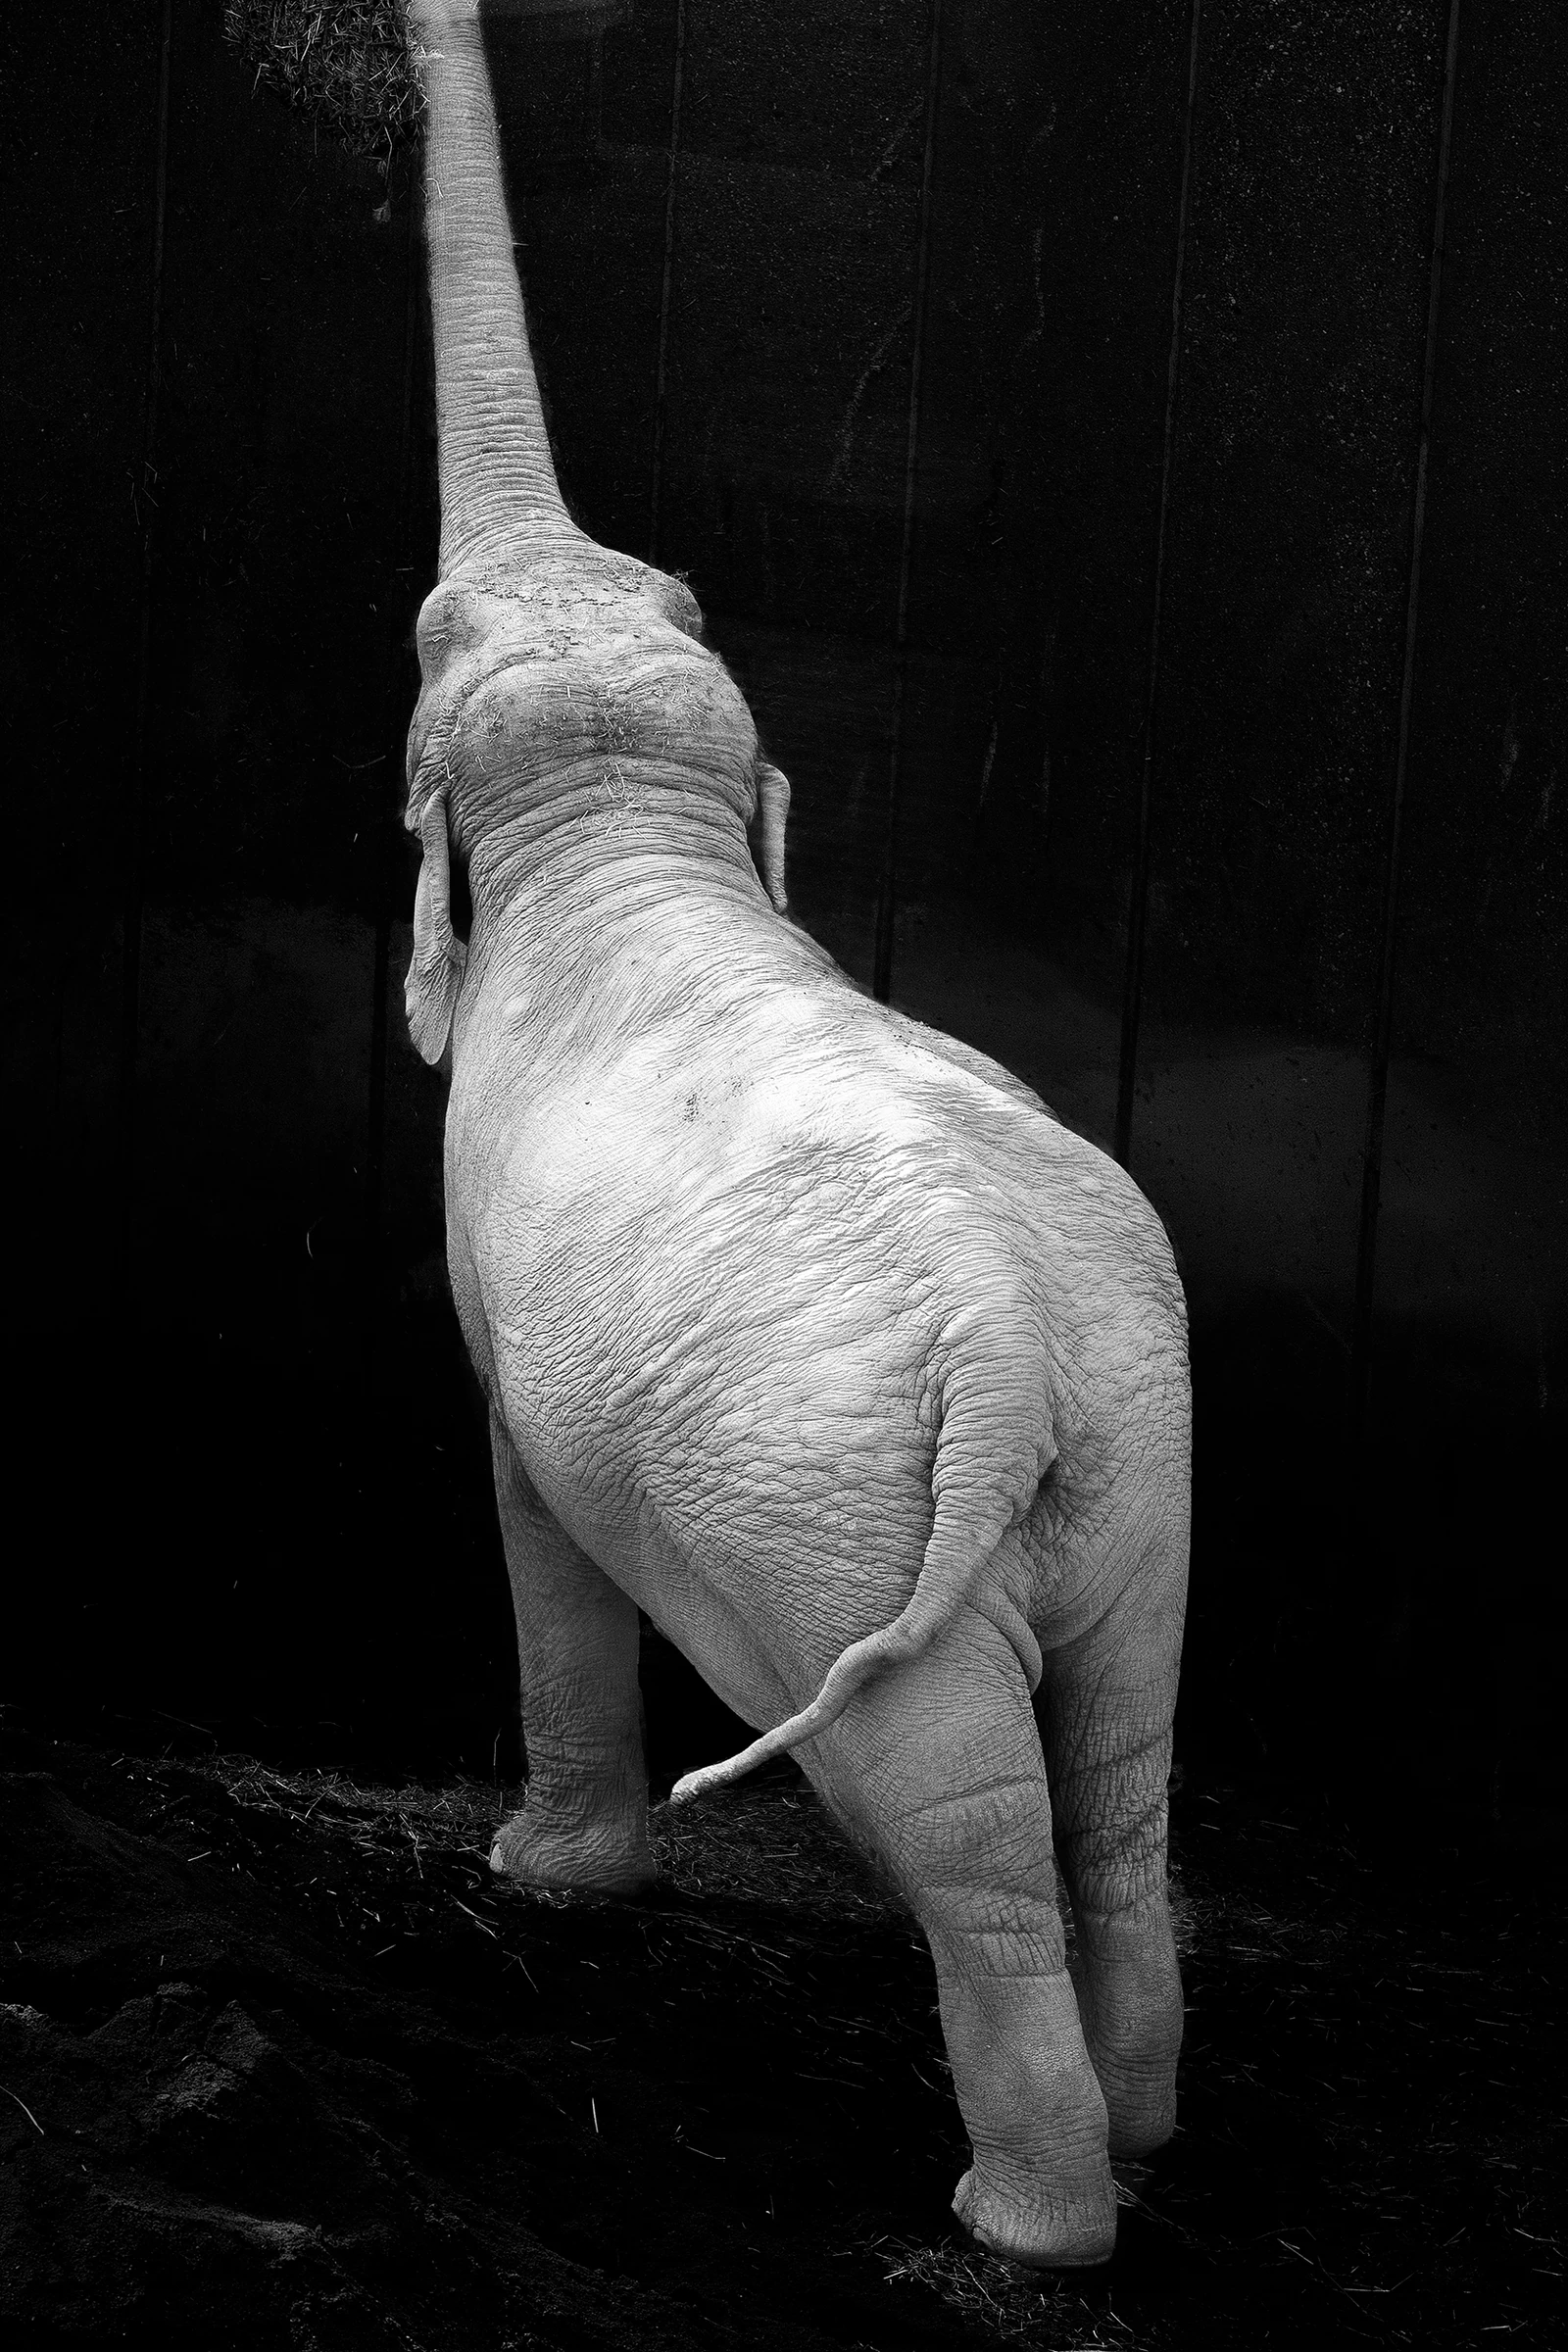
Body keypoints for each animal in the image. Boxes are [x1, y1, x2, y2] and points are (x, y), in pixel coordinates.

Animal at [400, 0, 1189, 2269]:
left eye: (424, 634)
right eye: (672, 586)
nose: (423, 25)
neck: (622, 813)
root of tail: (1011, 1345)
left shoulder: (493, 1281)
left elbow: (524, 1488)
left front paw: (540, 1883)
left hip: (814, 1507)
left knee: (959, 1816)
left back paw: (1022, 2223)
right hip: (1137, 1471)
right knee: (1114, 1773)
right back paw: (1142, 2143)